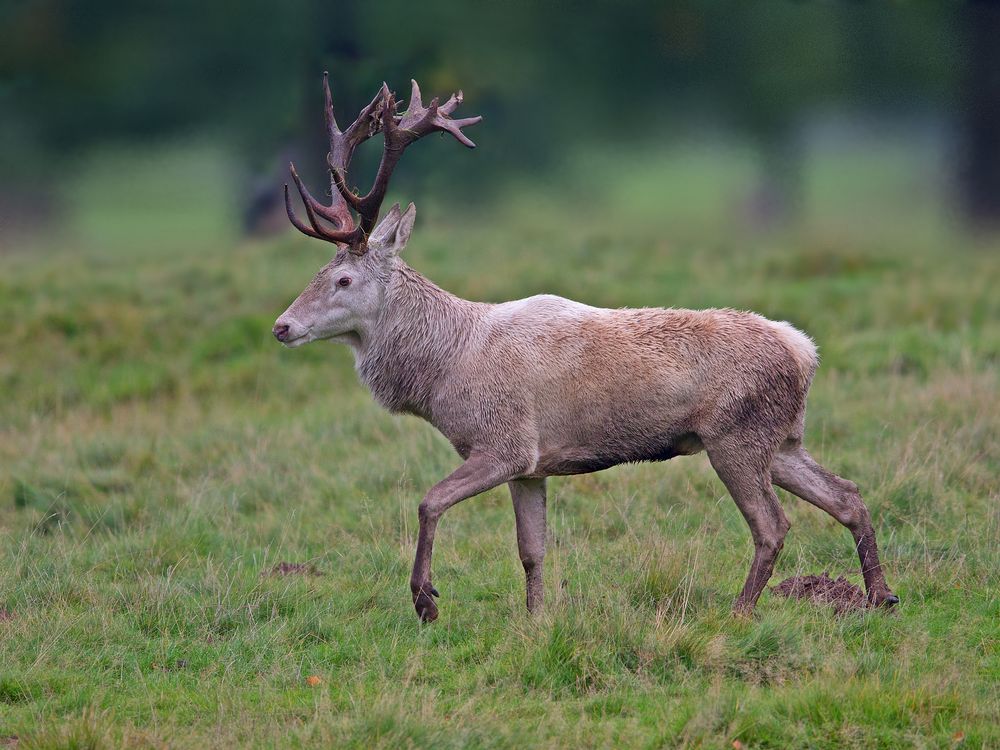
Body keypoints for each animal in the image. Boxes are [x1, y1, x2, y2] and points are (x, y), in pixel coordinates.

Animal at [274, 76, 900, 624]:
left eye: (344, 280)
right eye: (316, 272)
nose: (282, 326)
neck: (444, 372)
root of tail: (804, 350)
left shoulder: (503, 442)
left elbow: (429, 501)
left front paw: (426, 601)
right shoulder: (531, 464)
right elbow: (532, 549)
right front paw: (535, 620)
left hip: (736, 437)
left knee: (773, 526)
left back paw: (741, 611)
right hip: (783, 438)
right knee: (848, 496)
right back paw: (881, 598)